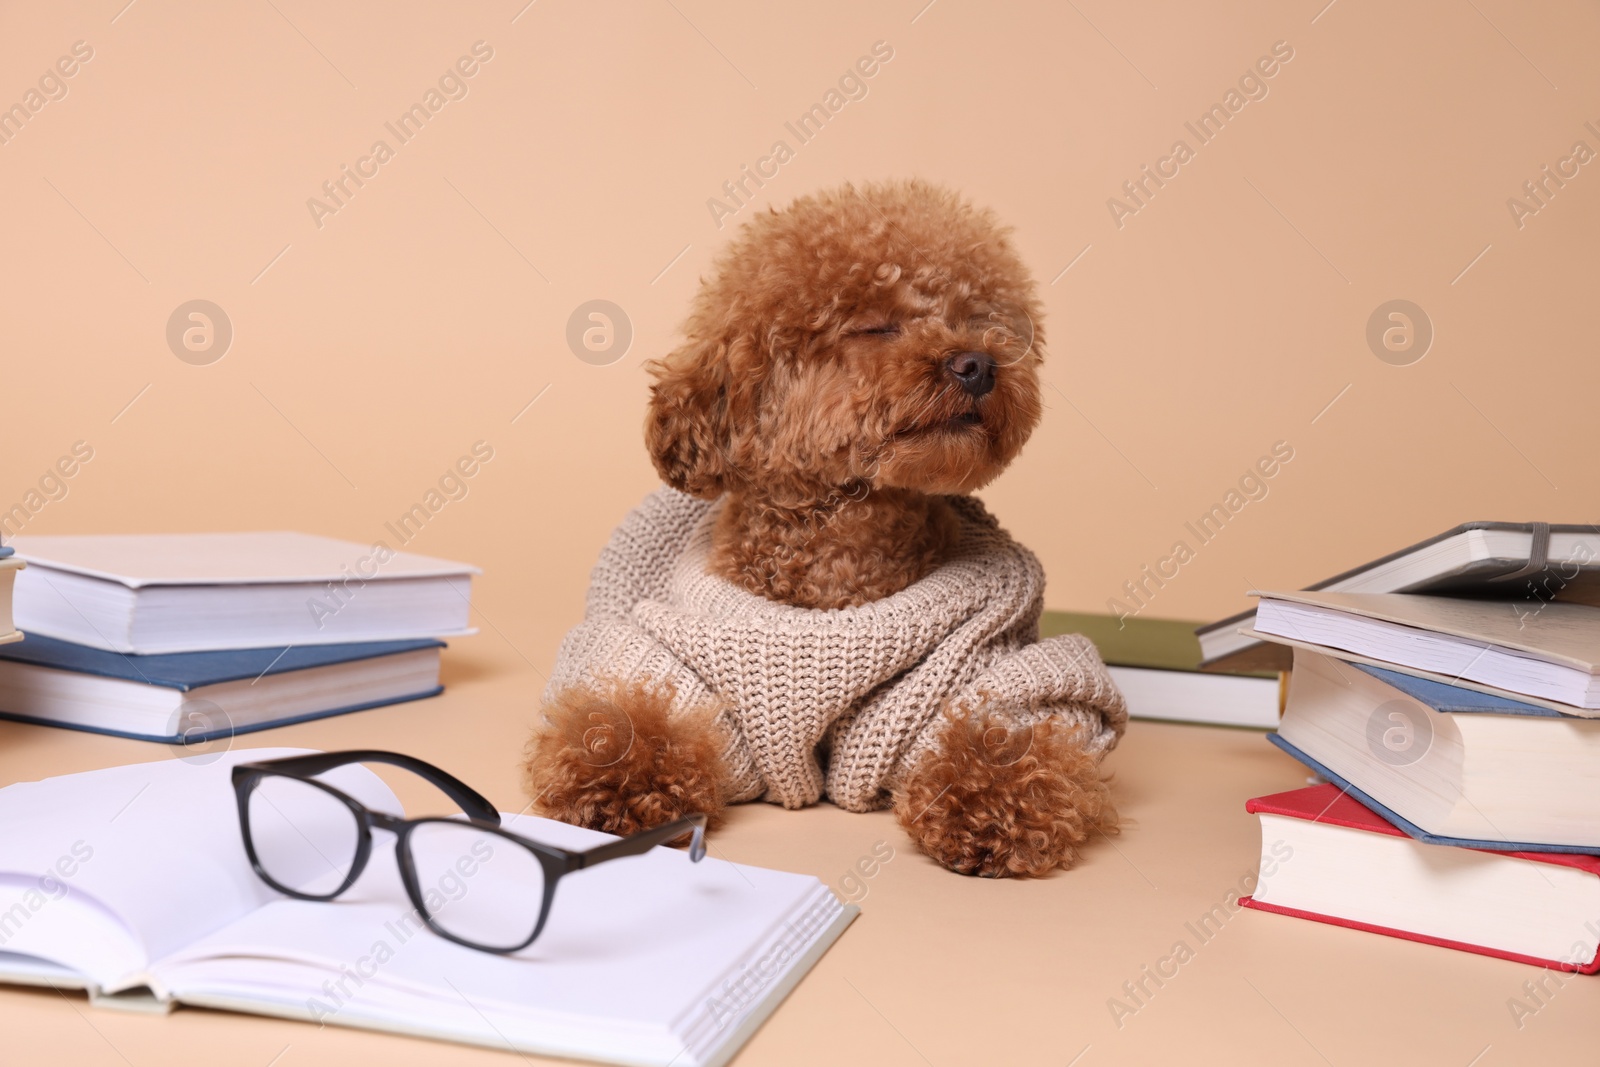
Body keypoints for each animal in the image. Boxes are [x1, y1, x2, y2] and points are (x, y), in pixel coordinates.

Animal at [524, 181, 1113, 876]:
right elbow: (628, 717)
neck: (840, 553)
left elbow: (1014, 729)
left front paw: (993, 811)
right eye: (875, 326)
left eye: (979, 320)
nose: (978, 364)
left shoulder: (982, 670)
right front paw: (614, 789)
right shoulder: (664, 661)